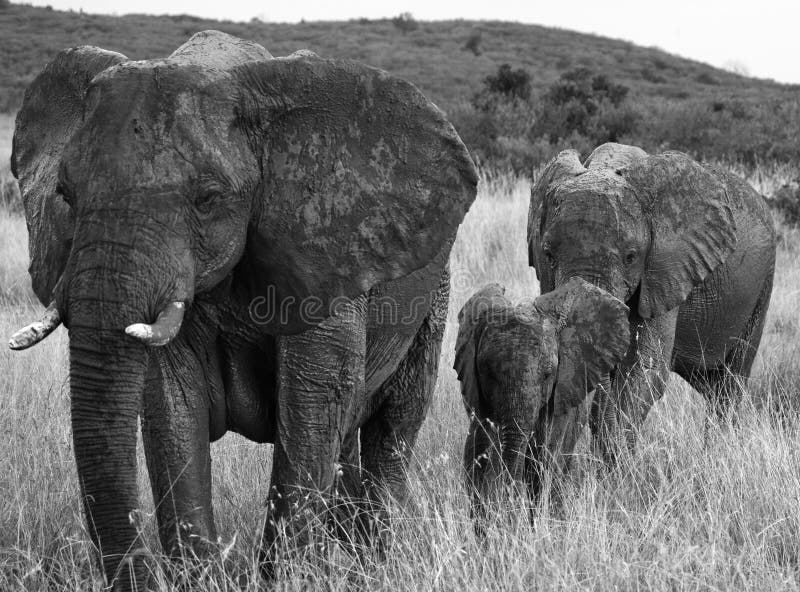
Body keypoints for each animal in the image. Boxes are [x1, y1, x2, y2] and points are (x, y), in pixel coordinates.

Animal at [9, 31, 478, 588]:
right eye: (64, 195)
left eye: (208, 199)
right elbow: (172, 405)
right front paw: (205, 578)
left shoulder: (323, 254)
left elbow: (313, 402)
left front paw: (288, 578)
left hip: (435, 293)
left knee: (394, 427)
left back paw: (370, 567)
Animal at [456, 278, 632, 528]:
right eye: (488, 373)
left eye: (548, 375)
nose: (510, 504)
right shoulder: (479, 402)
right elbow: (476, 459)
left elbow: (544, 461)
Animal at [528, 141, 780, 460]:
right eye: (548, 254)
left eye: (631, 257)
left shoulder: (666, 269)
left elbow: (645, 370)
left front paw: (617, 464)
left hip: (762, 286)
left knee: (730, 384)